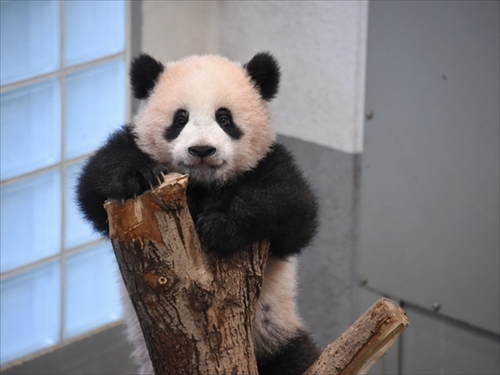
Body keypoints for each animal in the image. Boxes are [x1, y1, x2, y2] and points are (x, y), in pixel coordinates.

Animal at [78, 53, 320, 375]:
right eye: (180, 119)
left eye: (224, 118)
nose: (202, 150)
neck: (203, 184)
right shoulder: (130, 145)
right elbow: (93, 184)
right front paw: (139, 176)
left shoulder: (271, 162)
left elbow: (292, 209)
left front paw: (219, 227)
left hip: (275, 330)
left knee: (295, 358)